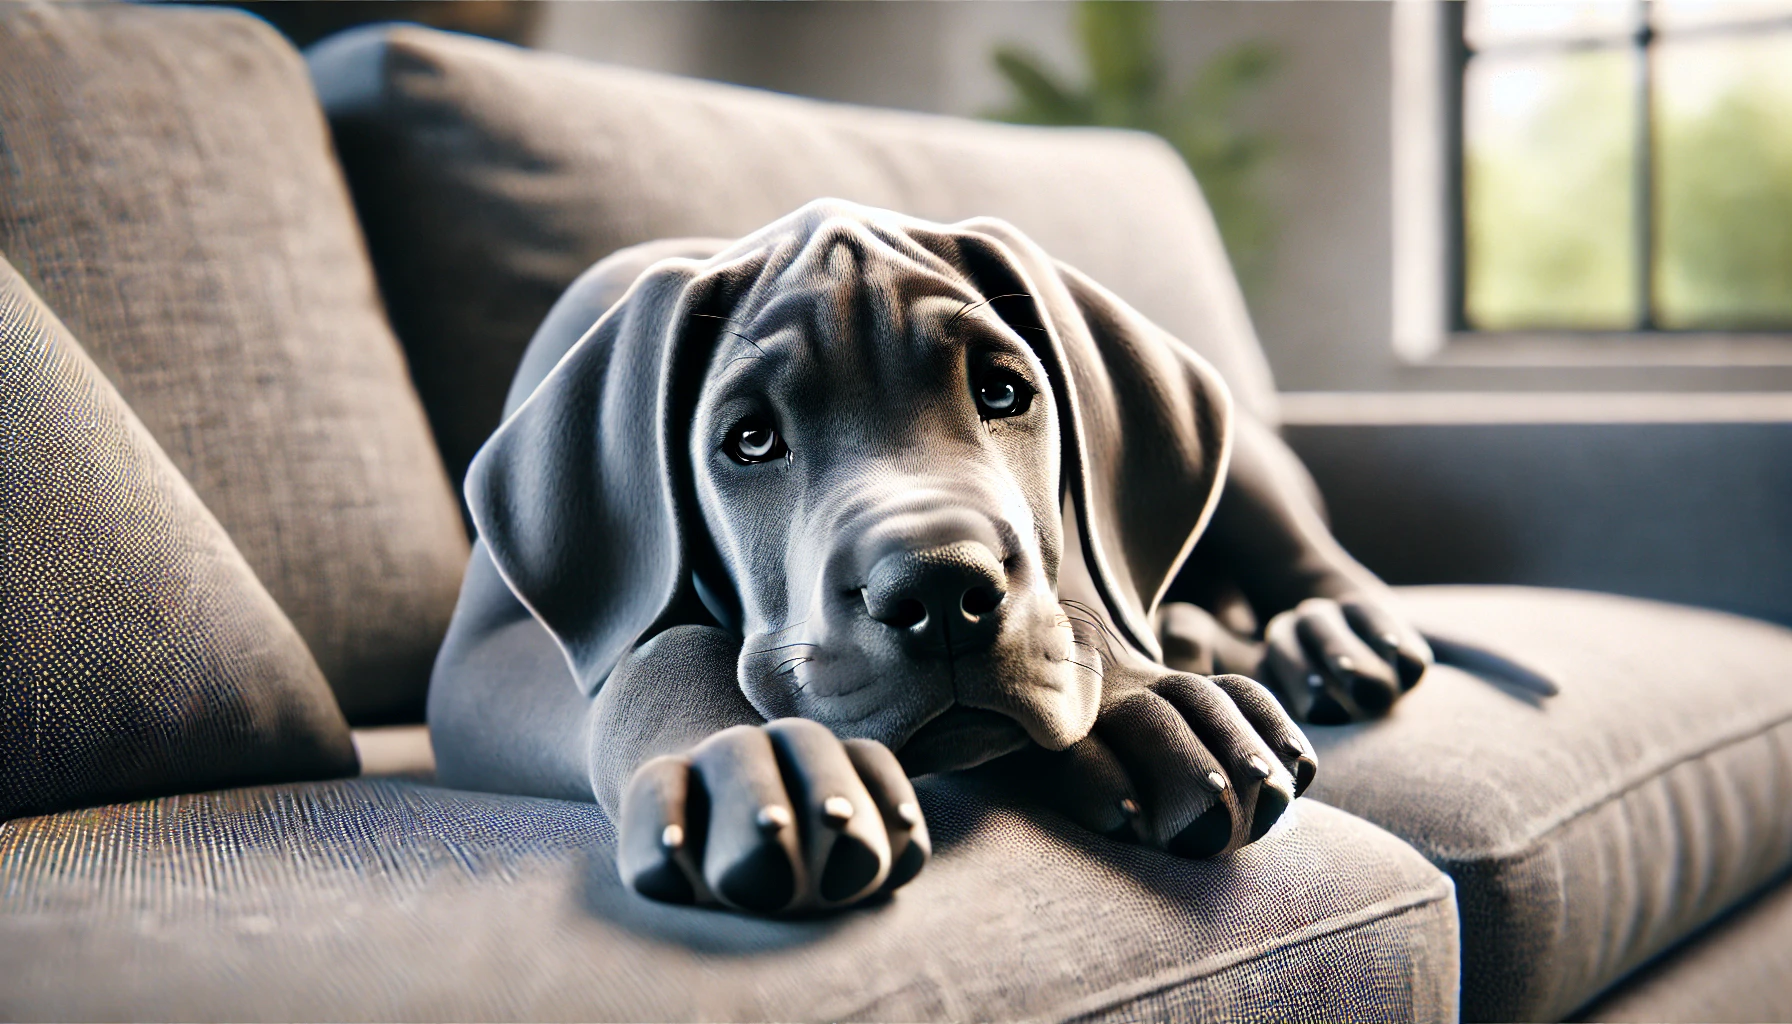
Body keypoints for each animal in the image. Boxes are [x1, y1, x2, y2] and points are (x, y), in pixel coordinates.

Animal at [426, 198, 1433, 914]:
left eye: (1003, 392)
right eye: (750, 440)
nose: (942, 591)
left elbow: (1082, 606)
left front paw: (1144, 704)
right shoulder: (488, 656)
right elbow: (656, 652)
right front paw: (751, 757)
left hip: (1252, 471)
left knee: (1303, 561)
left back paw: (1335, 635)